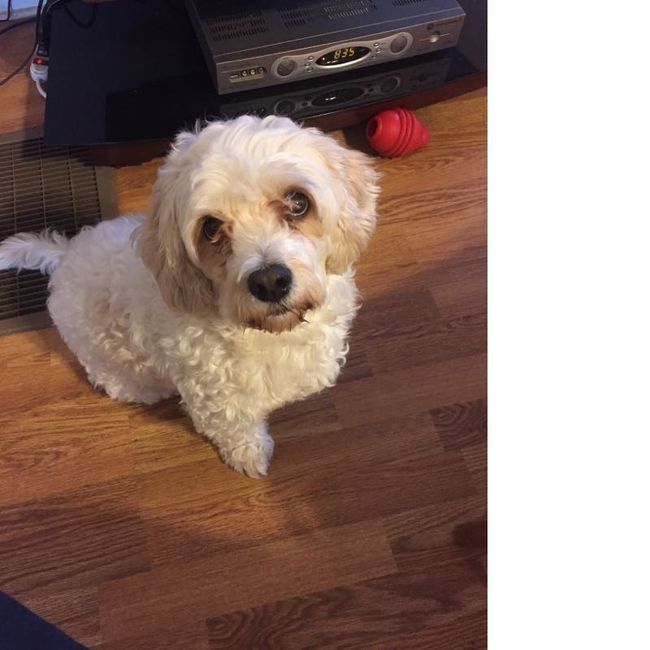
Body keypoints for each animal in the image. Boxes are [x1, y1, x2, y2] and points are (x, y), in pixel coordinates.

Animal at [0, 116, 380, 477]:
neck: (268, 334)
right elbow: (237, 431)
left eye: (298, 202)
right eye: (210, 227)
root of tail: (64, 255)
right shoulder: (218, 400)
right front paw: (249, 455)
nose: (270, 281)